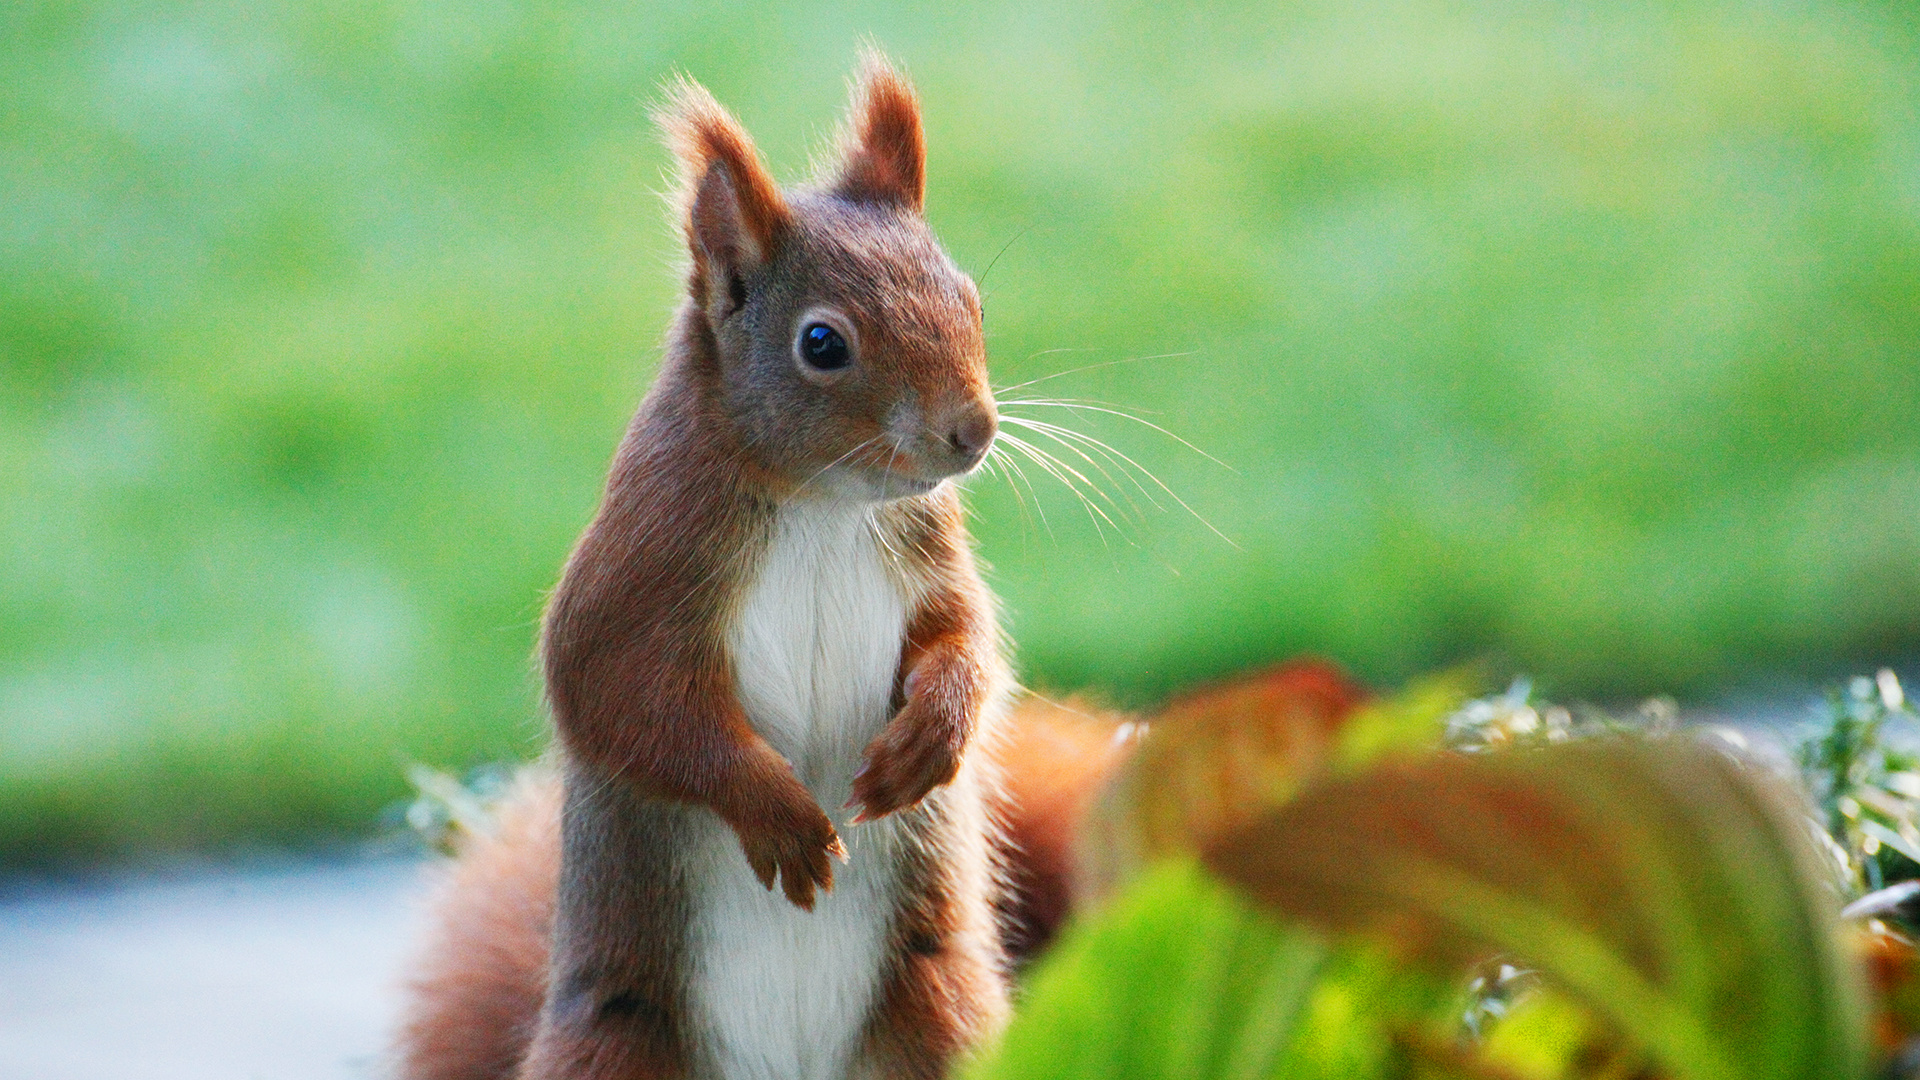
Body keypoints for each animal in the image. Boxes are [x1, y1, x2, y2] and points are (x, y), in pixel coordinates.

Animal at [395, 56, 1105, 1076]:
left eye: (971, 298)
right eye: (822, 343)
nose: (973, 433)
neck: (822, 507)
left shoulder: (929, 552)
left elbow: (967, 640)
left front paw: (931, 738)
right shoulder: (641, 566)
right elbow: (624, 703)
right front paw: (778, 816)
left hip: (940, 1013)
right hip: (618, 1041)